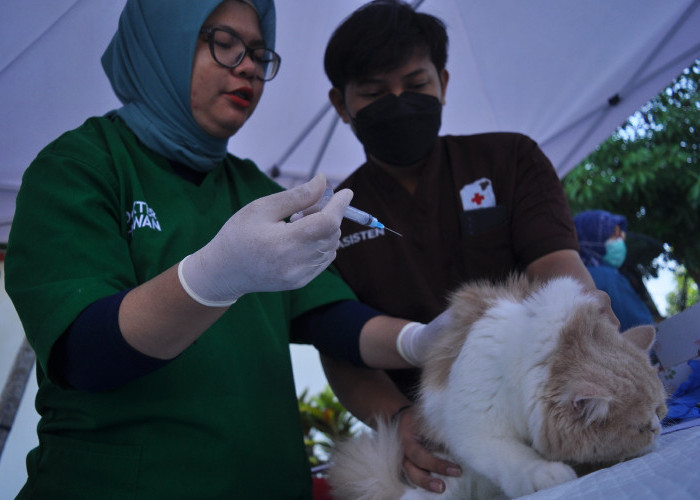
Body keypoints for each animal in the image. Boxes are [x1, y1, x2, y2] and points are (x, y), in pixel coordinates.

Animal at [328, 276, 668, 498]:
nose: (657, 429)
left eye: (661, 410)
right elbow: (515, 458)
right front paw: (546, 473)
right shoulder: (478, 429)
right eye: (639, 428)